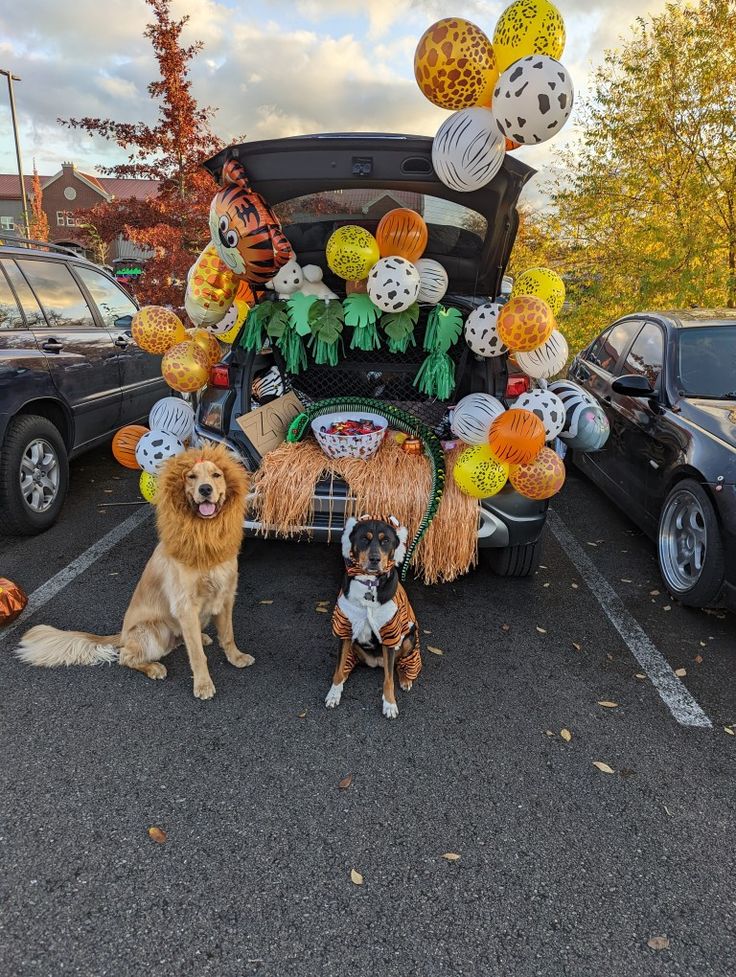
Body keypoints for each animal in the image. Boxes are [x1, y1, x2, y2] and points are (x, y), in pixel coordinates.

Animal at [16, 438, 253, 696]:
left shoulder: (225, 596)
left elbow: (228, 635)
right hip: (154, 631)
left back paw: (201, 637)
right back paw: (154, 667)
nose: (205, 489)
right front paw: (203, 684)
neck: (204, 537)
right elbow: (198, 655)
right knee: (126, 657)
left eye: (216, 475)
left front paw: (236, 657)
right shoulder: (185, 605)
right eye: (191, 477)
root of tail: (123, 634)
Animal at [326, 520, 422, 716]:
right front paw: (334, 693)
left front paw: (390, 704)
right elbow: (338, 669)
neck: (369, 583)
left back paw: (405, 678)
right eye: (364, 539)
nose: (375, 559)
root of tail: (377, 662)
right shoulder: (345, 630)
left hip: (409, 637)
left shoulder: (390, 636)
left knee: (399, 664)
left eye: (386, 541)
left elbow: (388, 680)